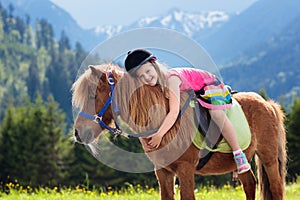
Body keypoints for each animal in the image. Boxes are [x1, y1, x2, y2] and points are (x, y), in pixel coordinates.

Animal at [71, 63, 286, 200]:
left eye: (92, 96)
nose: (78, 133)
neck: (164, 123)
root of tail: (268, 104)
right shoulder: (163, 172)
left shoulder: (185, 169)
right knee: (249, 184)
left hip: (268, 157)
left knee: (276, 187)